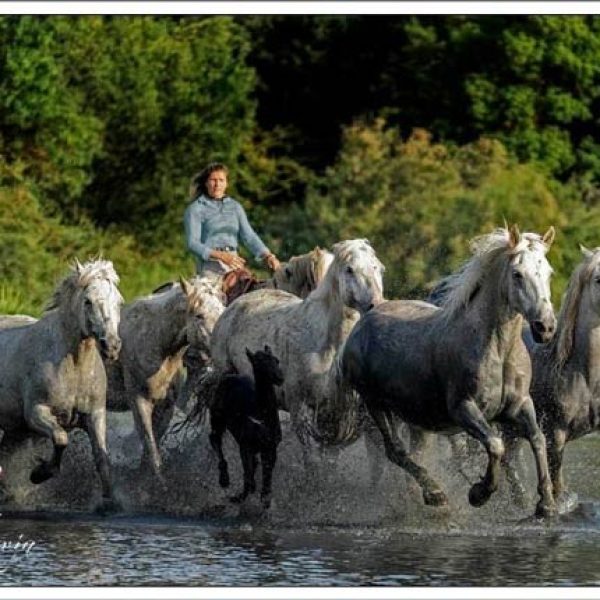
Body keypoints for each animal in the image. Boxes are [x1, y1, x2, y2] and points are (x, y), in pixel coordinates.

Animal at [0, 260, 123, 508]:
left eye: (119, 301)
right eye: (88, 301)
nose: (112, 346)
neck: (74, 368)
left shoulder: (95, 414)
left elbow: (102, 457)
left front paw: (111, 502)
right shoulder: (36, 413)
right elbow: (61, 438)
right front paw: (39, 474)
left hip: (15, 431)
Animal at [210, 344, 284, 508]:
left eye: (277, 360)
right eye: (258, 362)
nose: (279, 377)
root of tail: (229, 376)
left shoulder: (270, 447)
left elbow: (266, 472)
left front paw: (265, 497)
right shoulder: (245, 445)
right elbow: (248, 472)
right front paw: (242, 495)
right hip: (217, 418)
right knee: (214, 438)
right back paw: (224, 479)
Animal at [340, 227, 556, 516]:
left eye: (548, 272)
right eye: (517, 274)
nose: (546, 327)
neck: (497, 349)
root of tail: (365, 320)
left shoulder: (521, 404)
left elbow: (537, 438)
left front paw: (546, 503)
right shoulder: (463, 409)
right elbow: (495, 445)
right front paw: (479, 493)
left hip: (416, 419)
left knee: (413, 453)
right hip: (376, 404)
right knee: (395, 451)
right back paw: (435, 494)